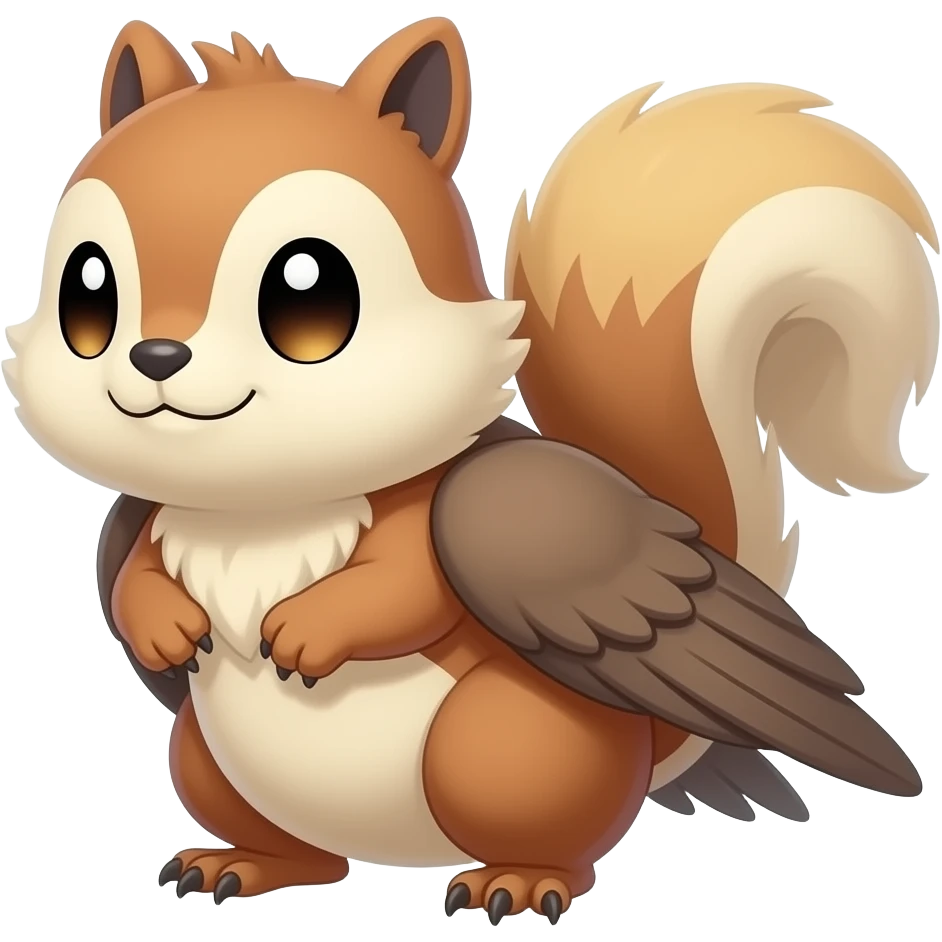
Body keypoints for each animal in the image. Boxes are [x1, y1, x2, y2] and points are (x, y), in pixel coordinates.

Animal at [3, 16, 936, 926]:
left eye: (309, 292)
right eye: (87, 290)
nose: (156, 356)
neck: (262, 507)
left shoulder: (436, 521)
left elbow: (402, 588)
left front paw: (306, 629)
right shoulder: (139, 520)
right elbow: (132, 572)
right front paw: (163, 625)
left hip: (499, 746)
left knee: (543, 828)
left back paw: (515, 881)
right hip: (202, 755)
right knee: (305, 853)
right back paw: (244, 862)